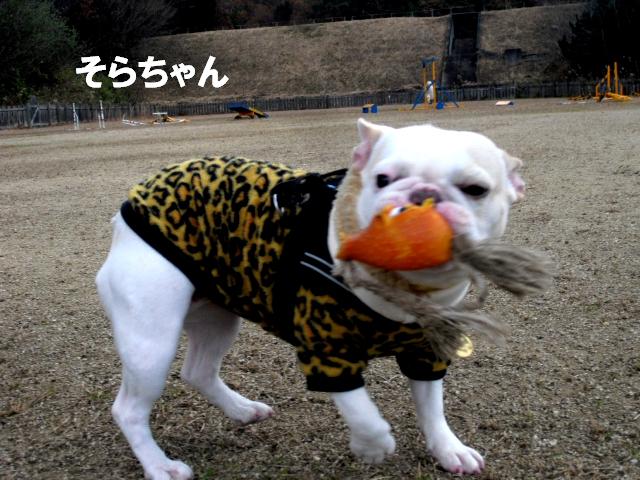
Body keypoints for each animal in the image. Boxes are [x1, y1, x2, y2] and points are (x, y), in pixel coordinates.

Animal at [96, 119, 524, 479]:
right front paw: (372, 446)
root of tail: (130, 206)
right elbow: (362, 411)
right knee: (129, 409)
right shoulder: (327, 354)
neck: (402, 287)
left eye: (476, 190)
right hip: (152, 340)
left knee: (198, 370)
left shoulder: (428, 351)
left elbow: (432, 405)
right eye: (382, 179)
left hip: (216, 315)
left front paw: (449, 448)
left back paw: (242, 410)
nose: (423, 197)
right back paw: (160, 466)